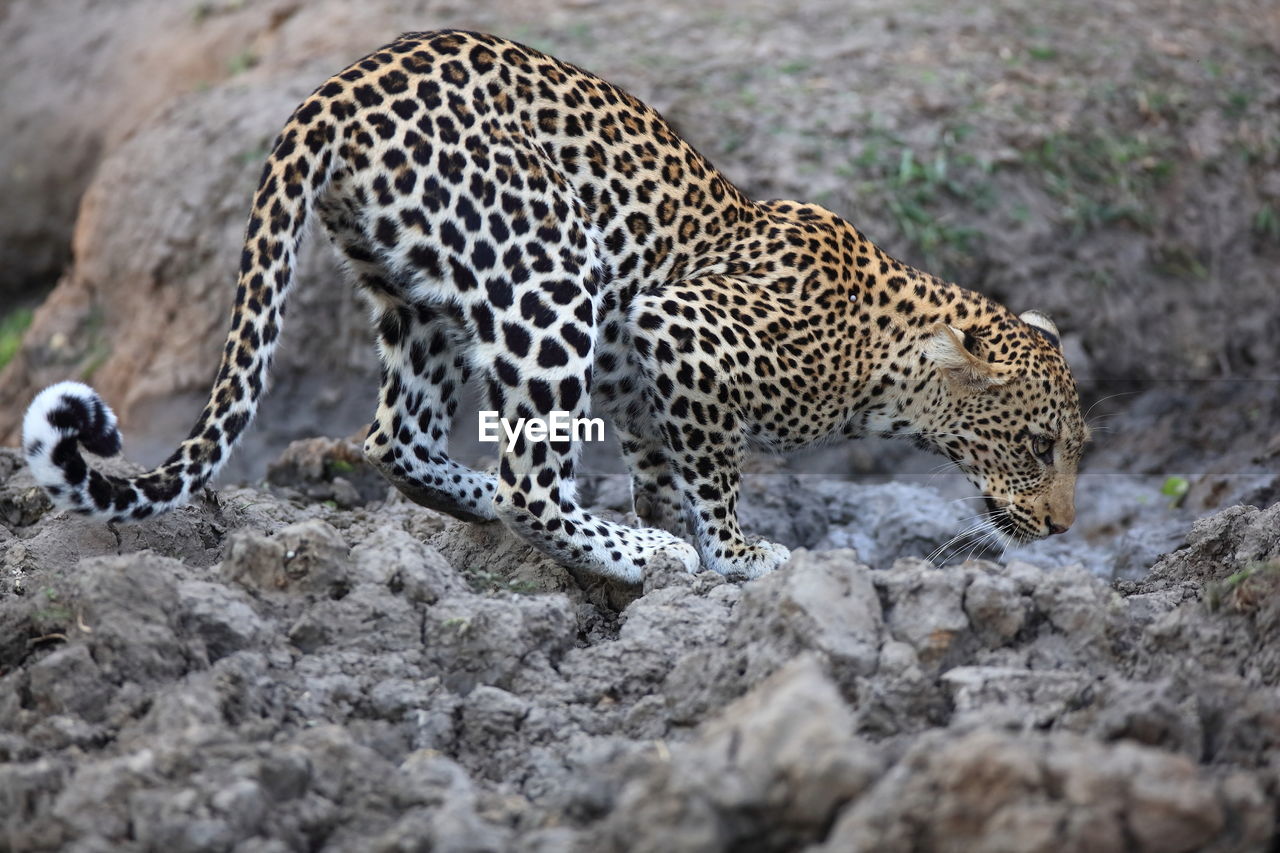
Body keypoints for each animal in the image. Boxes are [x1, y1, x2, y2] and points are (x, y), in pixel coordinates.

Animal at [20, 29, 1085, 581]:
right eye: (1038, 445)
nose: (1067, 527)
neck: (885, 356)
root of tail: (340, 84)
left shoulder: (657, 403)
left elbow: (669, 471)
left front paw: (683, 537)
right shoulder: (682, 331)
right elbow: (718, 487)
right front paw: (742, 556)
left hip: (418, 295)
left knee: (398, 439)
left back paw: (520, 511)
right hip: (547, 274)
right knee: (530, 480)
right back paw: (632, 549)